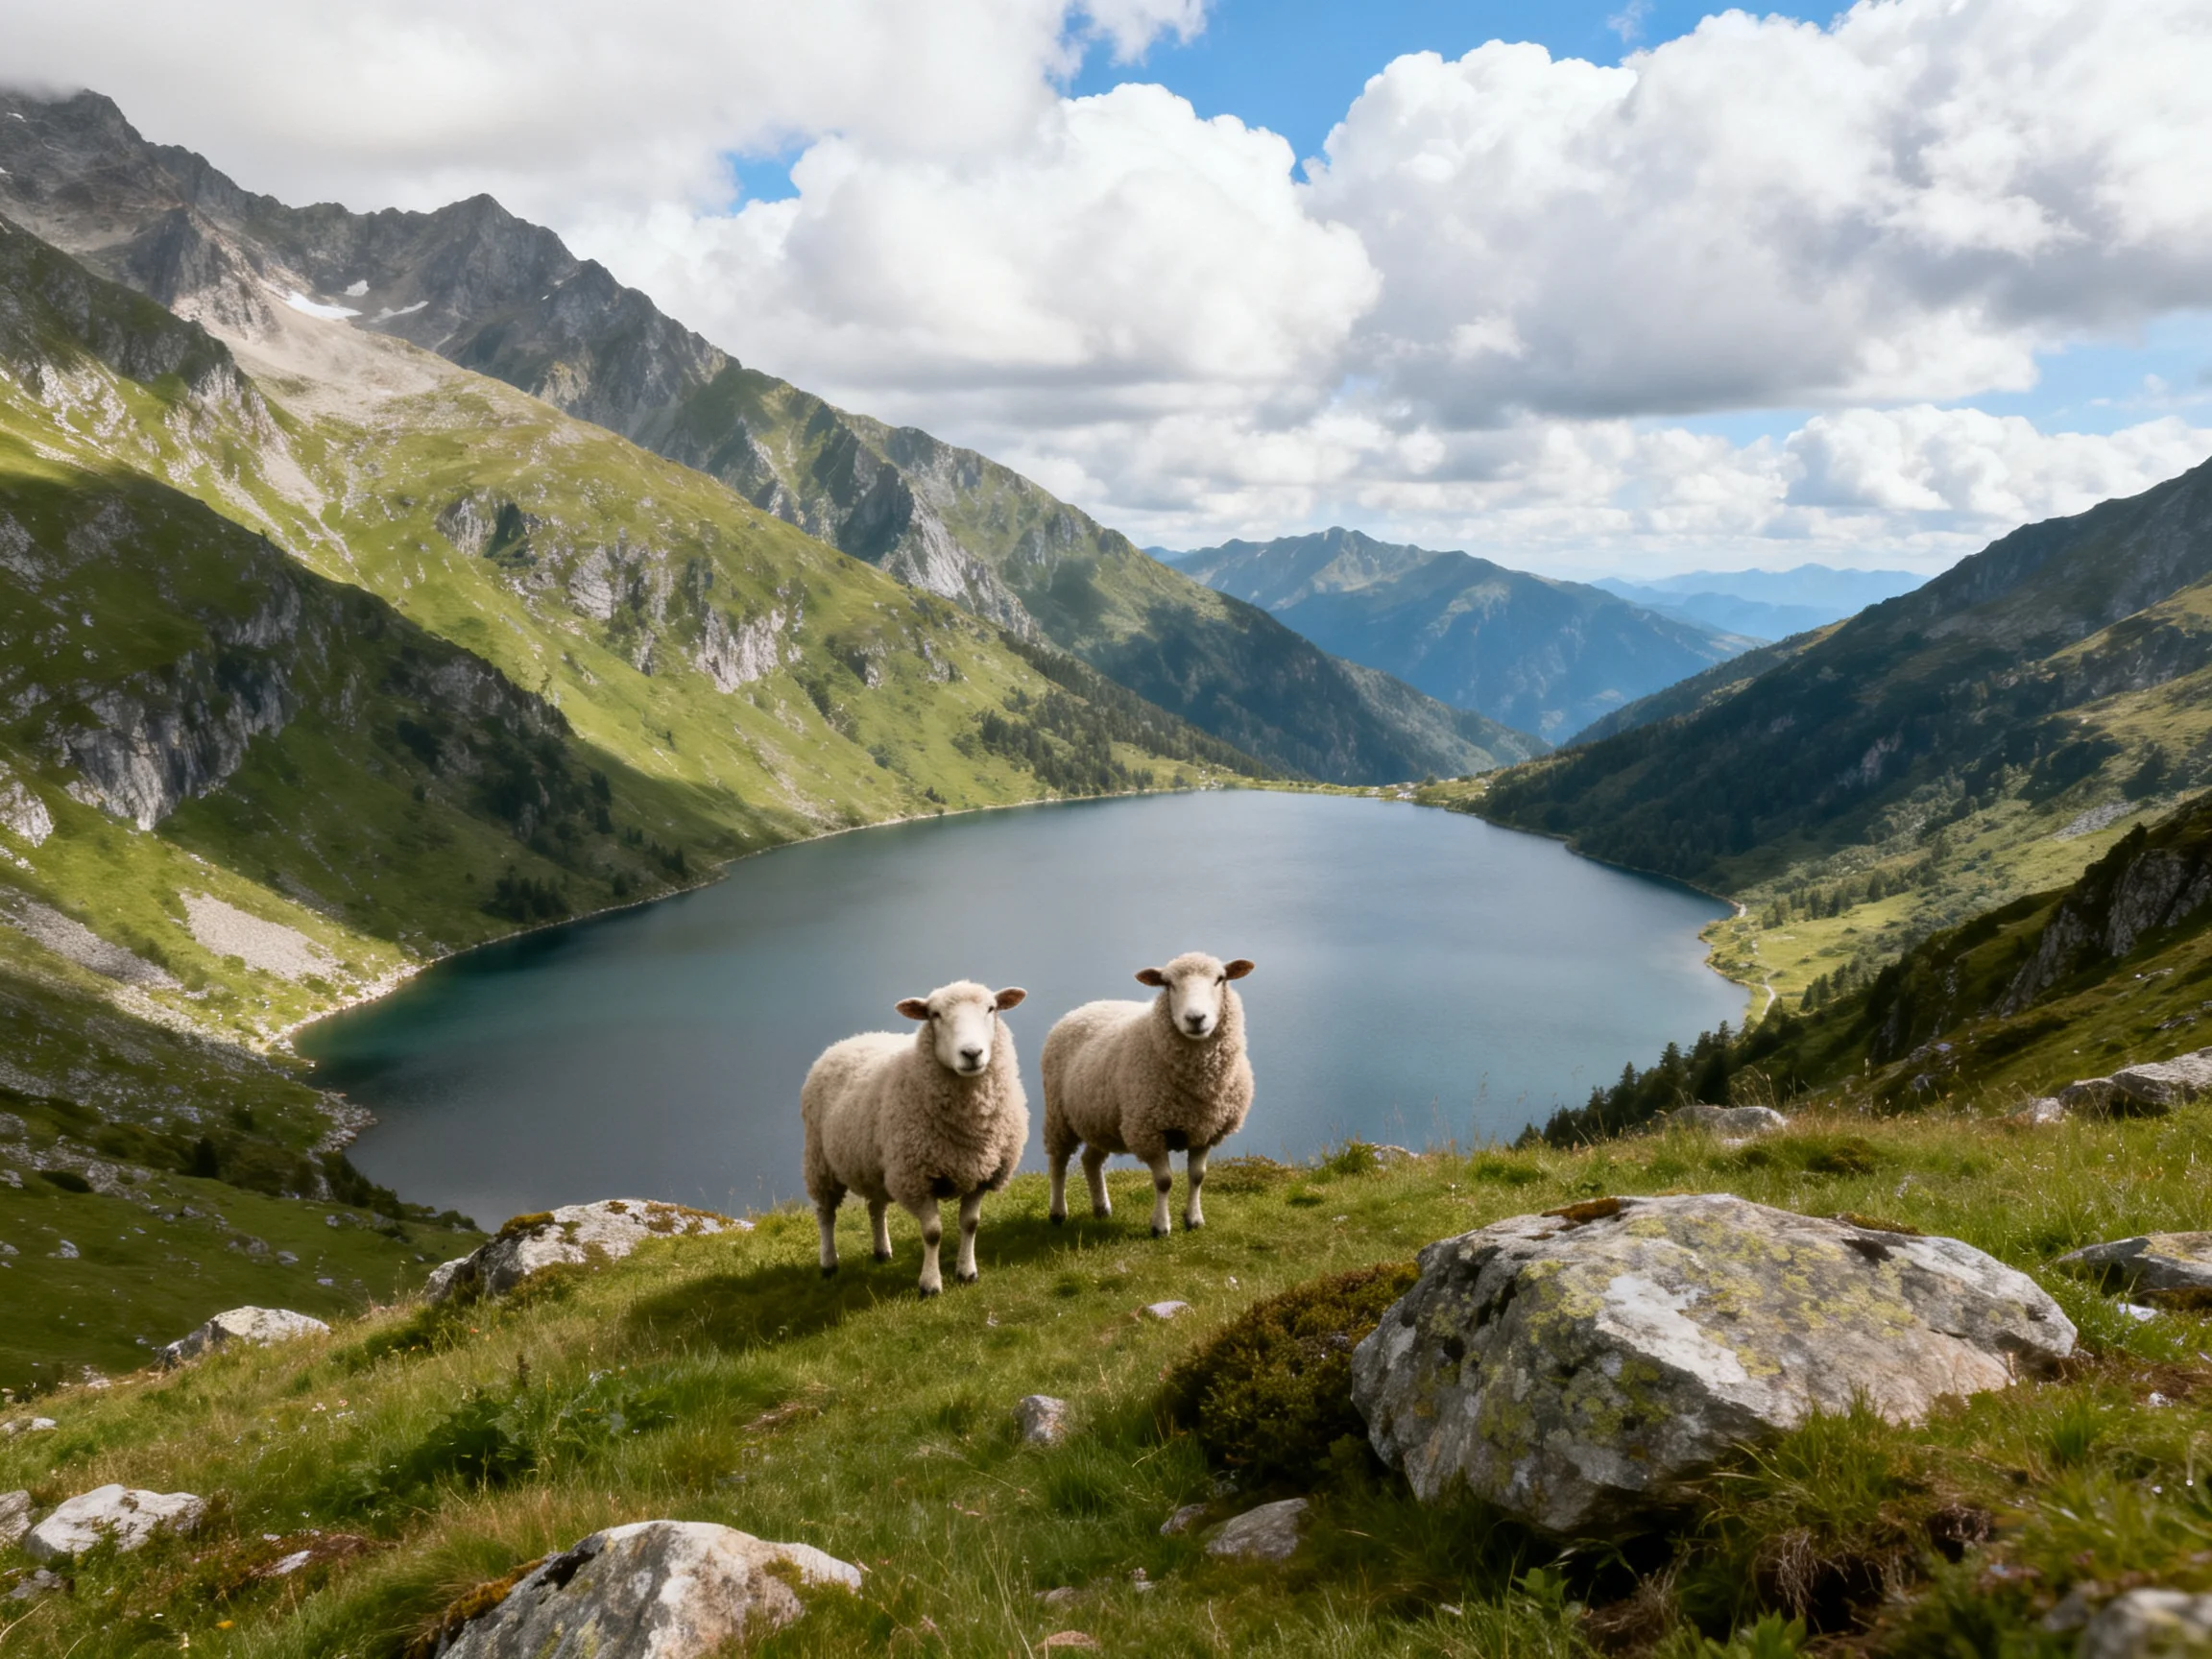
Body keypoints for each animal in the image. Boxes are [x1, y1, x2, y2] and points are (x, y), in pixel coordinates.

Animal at [800, 980, 1029, 1297]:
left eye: (991, 1008)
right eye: (935, 1015)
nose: (972, 1053)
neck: (968, 1129)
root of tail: (851, 1039)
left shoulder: (982, 1173)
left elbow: (970, 1224)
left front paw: (967, 1272)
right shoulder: (916, 1178)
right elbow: (932, 1233)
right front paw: (930, 1284)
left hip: (874, 1165)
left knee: (875, 1207)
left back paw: (882, 1251)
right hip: (820, 1161)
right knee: (825, 1214)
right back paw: (829, 1263)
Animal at [1042, 952, 1255, 1237]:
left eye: (1220, 979)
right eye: (1168, 984)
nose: (1195, 1018)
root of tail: (1087, 1006)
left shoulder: (1205, 1130)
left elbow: (1198, 1176)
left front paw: (1194, 1219)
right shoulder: (1148, 1130)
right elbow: (1164, 1181)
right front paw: (1161, 1226)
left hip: (1101, 1120)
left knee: (1090, 1160)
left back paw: (1101, 1208)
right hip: (1058, 1114)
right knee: (1058, 1162)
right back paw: (1057, 1212)